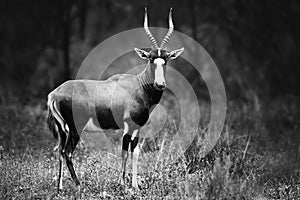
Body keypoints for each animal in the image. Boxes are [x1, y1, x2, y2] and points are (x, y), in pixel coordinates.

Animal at [47, 7, 184, 191]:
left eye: (166, 59)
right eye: (150, 58)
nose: (160, 84)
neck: (138, 85)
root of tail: (55, 94)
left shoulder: (137, 127)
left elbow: (132, 151)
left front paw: (130, 184)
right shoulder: (129, 125)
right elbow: (127, 151)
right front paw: (127, 184)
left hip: (63, 129)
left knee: (60, 151)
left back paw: (60, 188)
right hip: (76, 128)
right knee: (67, 152)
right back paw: (79, 184)